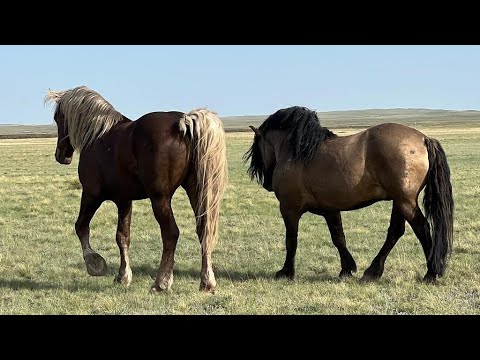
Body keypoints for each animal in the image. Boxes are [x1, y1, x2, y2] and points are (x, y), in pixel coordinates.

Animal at [45, 86, 227, 292]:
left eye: (57, 117)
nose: (61, 155)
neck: (98, 135)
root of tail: (183, 123)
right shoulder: (124, 200)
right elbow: (122, 236)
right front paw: (123, 276)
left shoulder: (91, 195)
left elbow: (81, 227)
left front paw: (95, 263)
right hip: (196, 192)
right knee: (203, 230)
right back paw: (207, 281)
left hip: (160, 198)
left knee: (171, 234)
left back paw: (161, 282)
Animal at [246, 105, 452, 282]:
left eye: (258, 147)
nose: (267, 183)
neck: (298, 154)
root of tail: (423, 139)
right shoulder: (330, 209)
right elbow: (338, 238)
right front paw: (347, 269)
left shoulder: (289, 209)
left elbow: (291, 240)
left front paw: (286, 271)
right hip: (400, 201)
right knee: (395, 232)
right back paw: (372, 271)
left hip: (405, 201)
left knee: (422, 228)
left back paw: (431, 273)